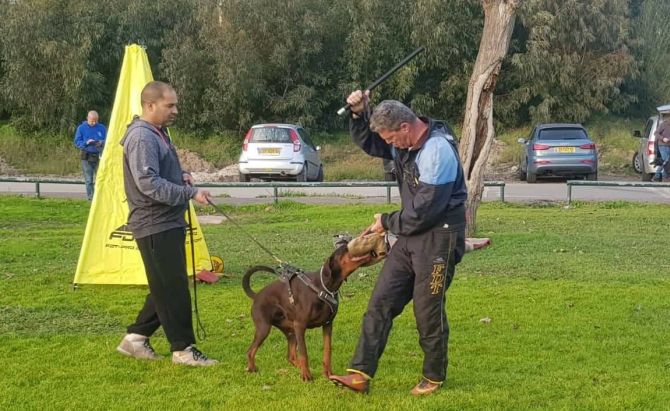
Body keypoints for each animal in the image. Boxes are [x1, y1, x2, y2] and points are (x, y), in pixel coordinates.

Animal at [242, 234, 386, 381]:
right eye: (344, 248)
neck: (324, 287)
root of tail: (257, 295)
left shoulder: (327, 324)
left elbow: (327, 350)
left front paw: (327, 374)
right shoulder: (300, 325)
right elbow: (304, 353)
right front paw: (306, 376)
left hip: (290, 331)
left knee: (290, 356)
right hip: (265, 328)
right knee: (250, 351)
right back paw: (252, 368)